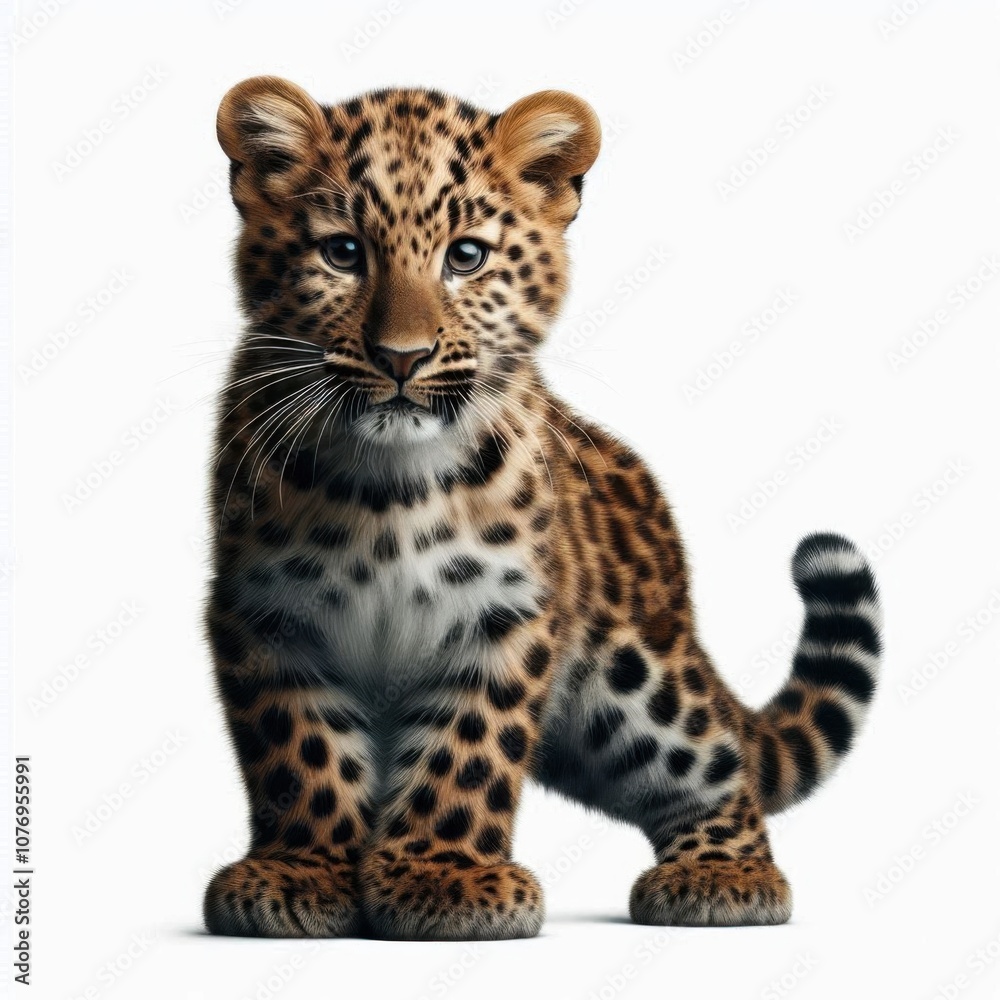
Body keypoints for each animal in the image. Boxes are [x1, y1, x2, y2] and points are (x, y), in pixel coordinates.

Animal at [202, 76, 883, 941]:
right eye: (343, 252)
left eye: (466, 256)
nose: (401, 358)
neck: (387, 487)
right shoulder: (264, 614)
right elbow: (299, 755)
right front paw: (299, 871)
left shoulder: (506, 613)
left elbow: (468, 750)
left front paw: (446, 878)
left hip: (635, 681)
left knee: (720, 763)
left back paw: (722, 876)